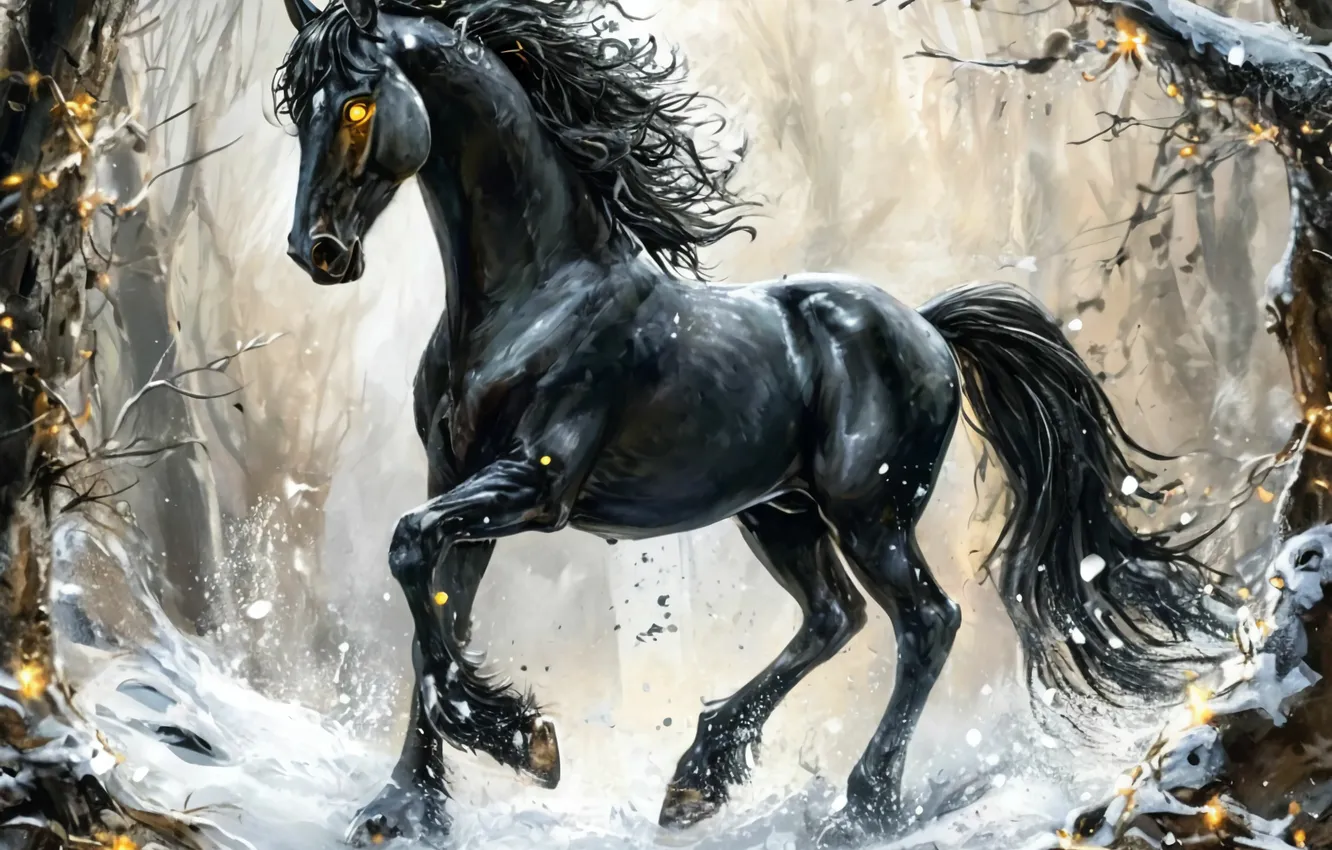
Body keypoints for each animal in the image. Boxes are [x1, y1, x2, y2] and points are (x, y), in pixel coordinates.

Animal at [274, 0, 1224, 844]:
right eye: (299, 112)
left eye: (357, 102)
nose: (315, 253)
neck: (532, 303)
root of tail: (926, 326)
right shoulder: (458, 483)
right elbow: (436, 612)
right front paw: (404, 807)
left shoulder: (533, 486)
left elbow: (408, 551)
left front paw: (524, 744)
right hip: (781, 512)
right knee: (835, 617)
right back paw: (695, 781)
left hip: (869, 514)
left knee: (927, 622)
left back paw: (861, 810)